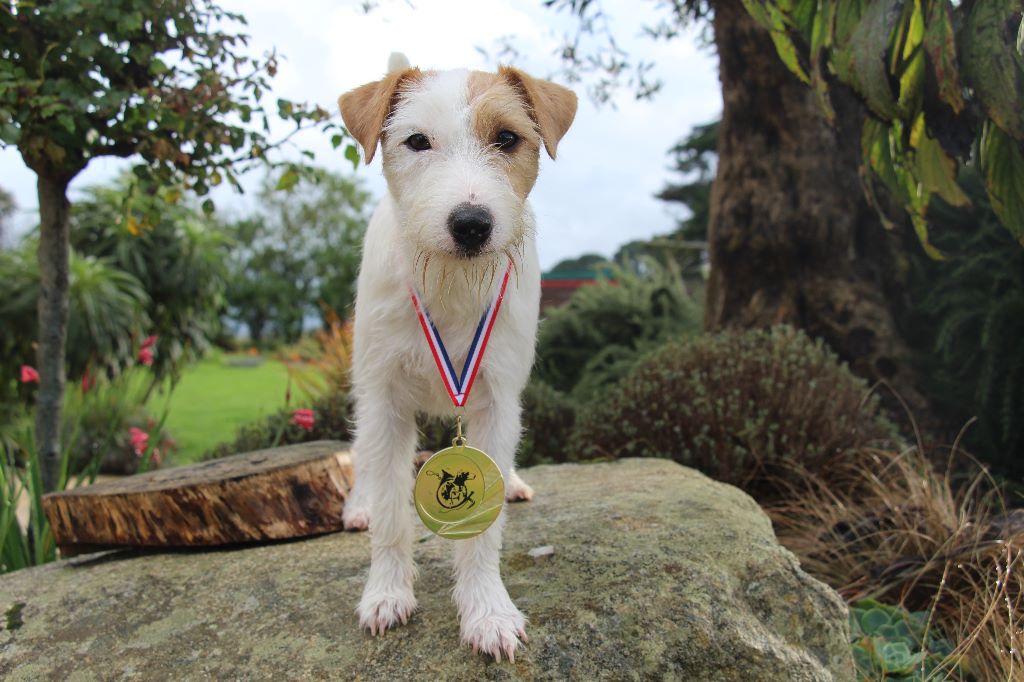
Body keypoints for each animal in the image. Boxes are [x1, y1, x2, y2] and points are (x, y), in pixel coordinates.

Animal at [335, 55, 577, 659]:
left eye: (507, 138)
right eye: (417, 141)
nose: (471, 224)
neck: (449, 285)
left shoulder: (496, 399)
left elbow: (484, 532)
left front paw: (488, 611)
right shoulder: (384, 400)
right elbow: (393, 513)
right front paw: (386, 594)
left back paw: (512, 480)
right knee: (362, 460)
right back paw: (358, 505)